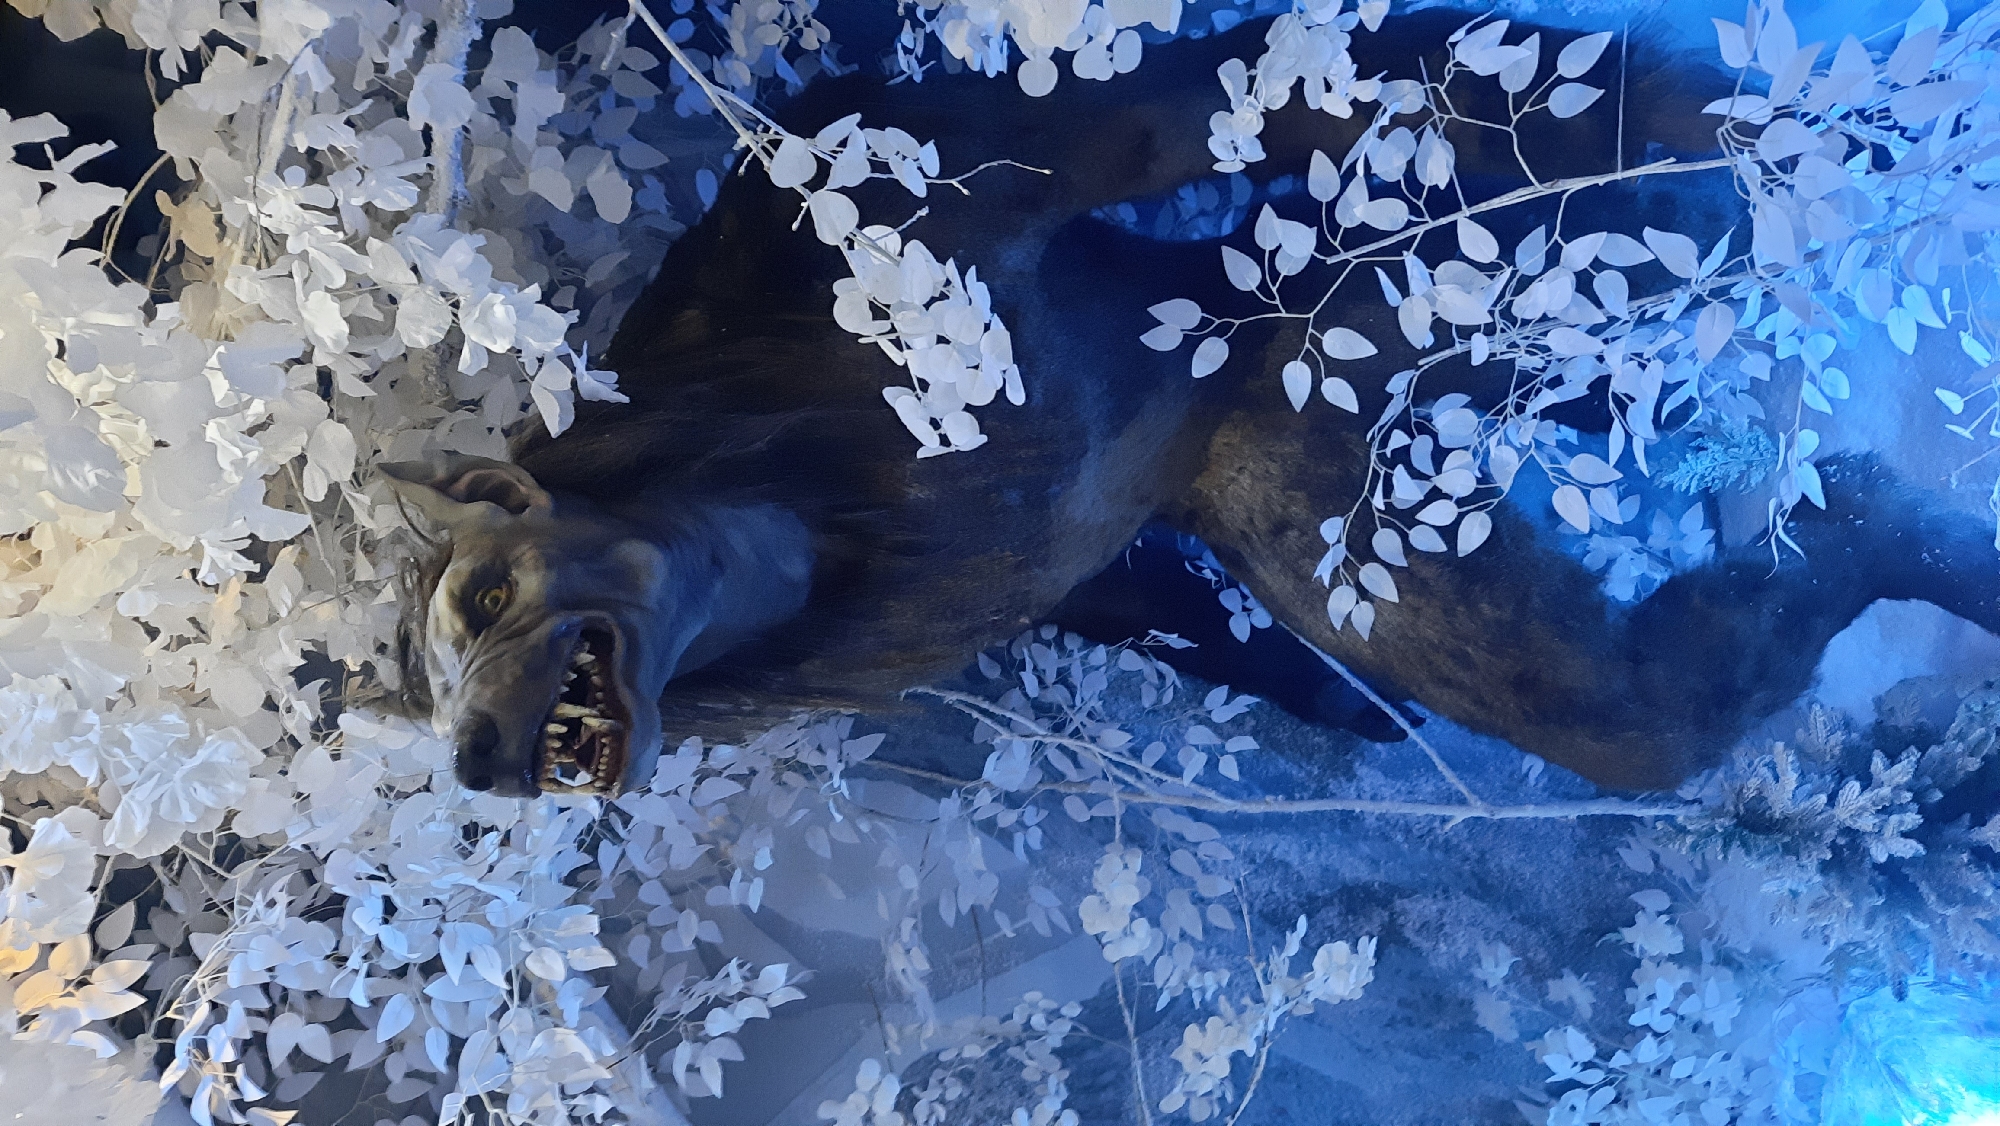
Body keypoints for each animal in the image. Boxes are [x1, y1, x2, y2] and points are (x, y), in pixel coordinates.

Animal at [383, 11, 2000, 798]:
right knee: (1635, 703)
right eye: (433, 677)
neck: (774, 524)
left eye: (482, 599)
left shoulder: (866, 184)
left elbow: (1207, 100)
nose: (465, 760)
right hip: (1353, 482)